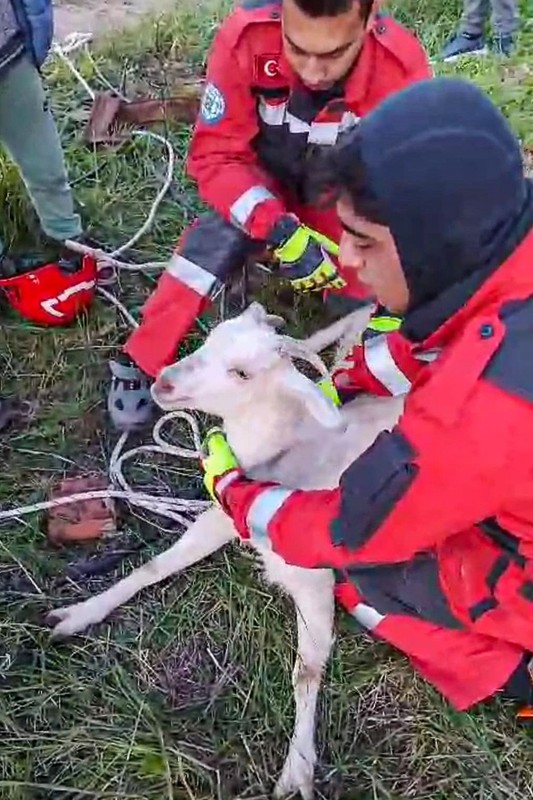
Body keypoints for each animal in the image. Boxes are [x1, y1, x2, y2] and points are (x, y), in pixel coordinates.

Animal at [46, 302, 404, 800]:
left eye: (242, 373)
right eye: (212, 336)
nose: (164, 382)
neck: (288, 449)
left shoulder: (311, 575)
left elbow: (307, 670)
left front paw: (297, 768)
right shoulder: (223, 515)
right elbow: (154, 566)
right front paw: (78, 614)